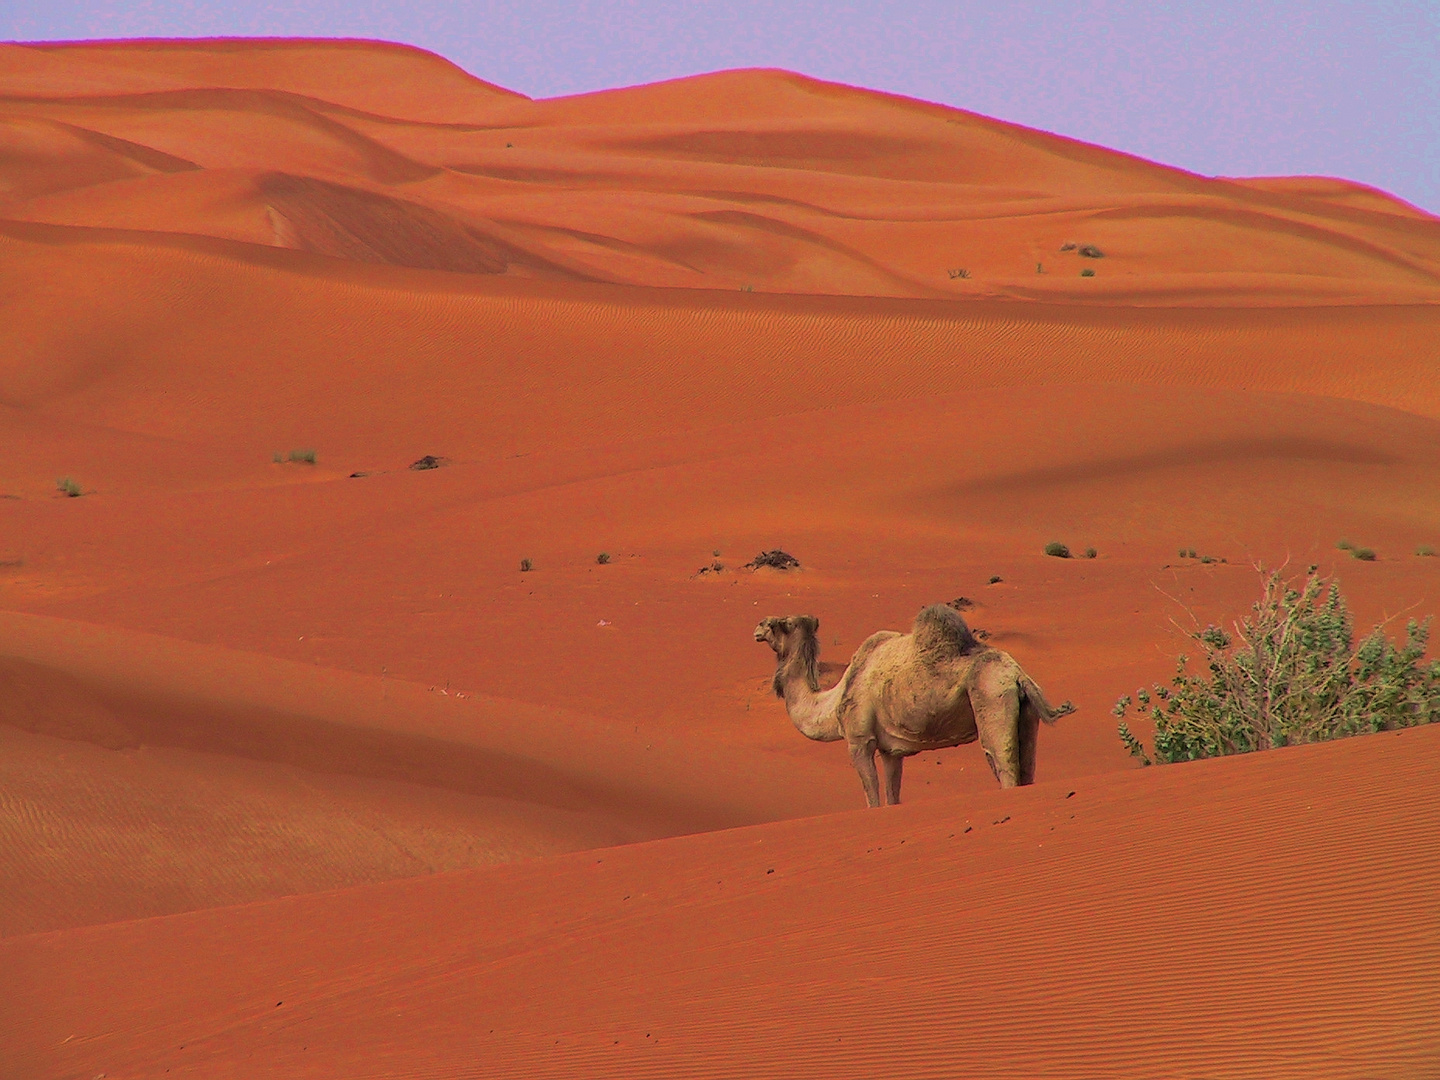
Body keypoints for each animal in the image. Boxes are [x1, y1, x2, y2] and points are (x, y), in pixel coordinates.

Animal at [754, 604, 1071, 806]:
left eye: (783, 623)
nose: (758, 626)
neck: (833, 702)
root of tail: (1017, 675)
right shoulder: (890, 751)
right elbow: (893, 796)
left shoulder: (860, 741)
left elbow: (872, 799)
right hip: (1025, 713)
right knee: (1027, 767)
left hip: (991, 697)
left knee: (1004, 765)